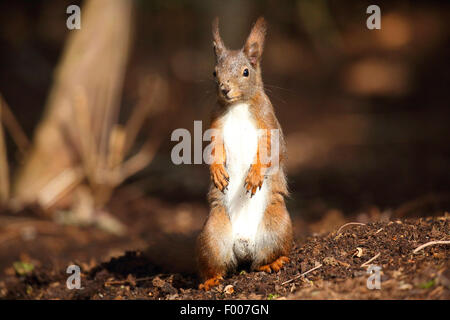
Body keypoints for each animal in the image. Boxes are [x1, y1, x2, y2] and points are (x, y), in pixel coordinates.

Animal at [196, 16, 294, 290]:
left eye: (246, 72)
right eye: (214, 72)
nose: (225, 89)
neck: (238, 106)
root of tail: (244, 245)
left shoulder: (268, 125)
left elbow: (270, 151)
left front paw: (255, 175)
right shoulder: (215, 127)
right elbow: (212, 151)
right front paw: (217, 172)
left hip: (277, 225)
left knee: (262, 260)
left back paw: (274, 263)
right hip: (212, 236)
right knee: (216, 264)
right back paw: (211, 280)